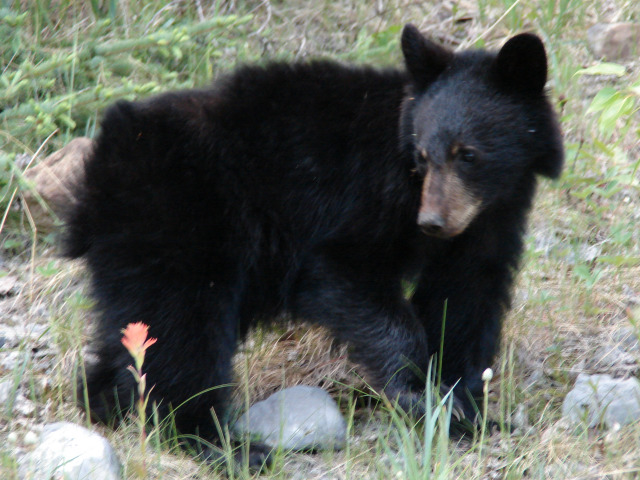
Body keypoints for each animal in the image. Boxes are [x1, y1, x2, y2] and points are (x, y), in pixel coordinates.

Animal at [63, 24, 563, 467]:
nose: (432, 223)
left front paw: (468, 406)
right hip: (181, 218)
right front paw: (420, 393)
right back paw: (221, 444)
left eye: (468, 154)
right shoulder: (363, 195)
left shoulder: (489, 219)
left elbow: (465, 294)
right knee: (182, 329)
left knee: (139, 329)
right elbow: (343, 269)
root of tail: (96, 175)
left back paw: (105, 401)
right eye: (422, 156)